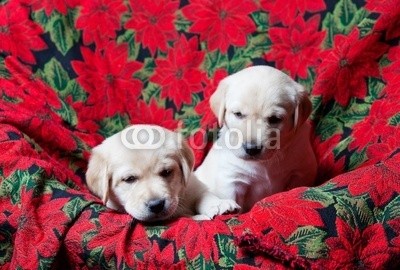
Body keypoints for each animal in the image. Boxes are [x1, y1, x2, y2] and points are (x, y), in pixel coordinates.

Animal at [86, 124, 239, 221]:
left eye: (166, 172)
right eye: (129, 179)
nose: (156, 205)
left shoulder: (192, 185)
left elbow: (204, 195)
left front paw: (219, 205)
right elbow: (187, 217)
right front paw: (199, 217)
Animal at [195, 66, 318, 213]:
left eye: (275, 119)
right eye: (238, 114)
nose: (252, 148)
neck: (265, 163)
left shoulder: (302, 170)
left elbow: (297, 187)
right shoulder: (231, 180)